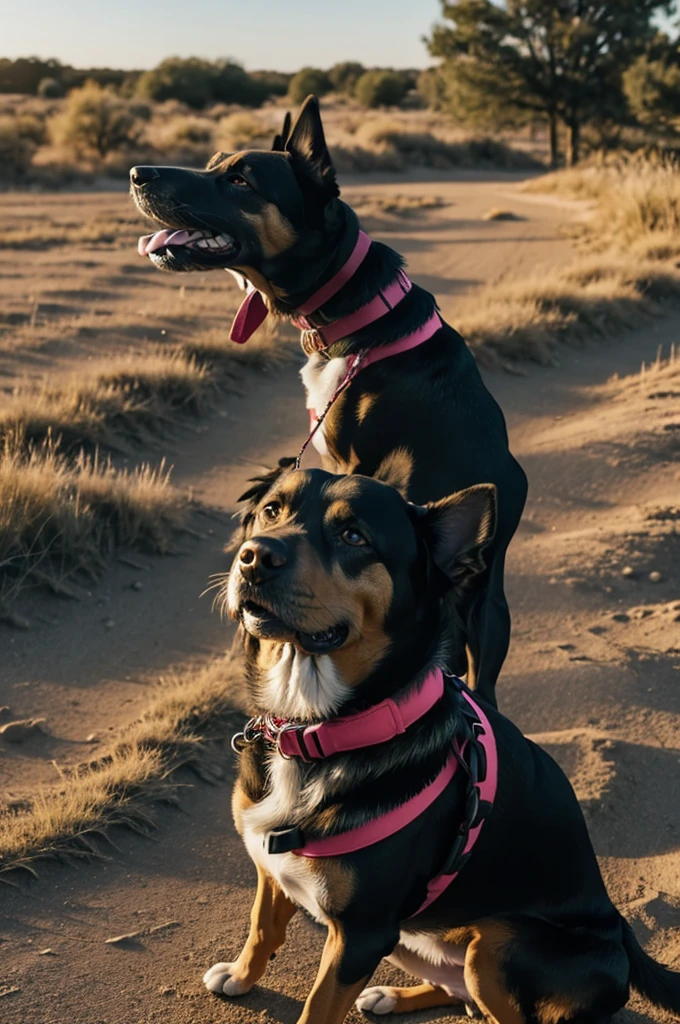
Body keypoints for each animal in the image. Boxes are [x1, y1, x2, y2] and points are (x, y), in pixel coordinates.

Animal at [130, 96, 528, 708]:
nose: (136, 174)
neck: (356, 314)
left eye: (240, 179)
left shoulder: (353, 460)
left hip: (487, 607)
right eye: (213, 162)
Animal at [204, 468, 680, 1024]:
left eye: (354, 537)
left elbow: (317, 1007)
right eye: (271, 511)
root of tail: (621, 938)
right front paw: (241, 976)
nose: (255, 556)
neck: (314, 727)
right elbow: (262, 924)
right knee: (463, 997)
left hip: (496, 944)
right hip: (414, 938)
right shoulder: (275, 870)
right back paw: (392, 996)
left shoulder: (361, 936)